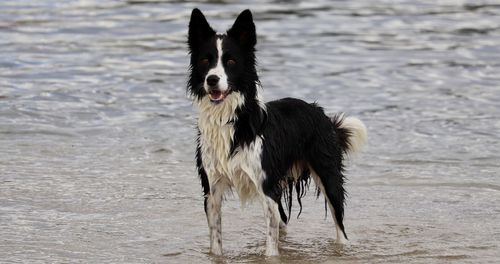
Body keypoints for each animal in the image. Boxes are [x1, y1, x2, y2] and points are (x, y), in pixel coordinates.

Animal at [188, 8, 368, 256]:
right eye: (205, 61)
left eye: (231, 61)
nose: (212, 80)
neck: (230, 119)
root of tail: (320, 112)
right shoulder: (212, 190)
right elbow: (216, 241)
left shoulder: (266, 186)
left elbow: (271, 246)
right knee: (283, 220)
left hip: (327, 174)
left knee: (339, 225)